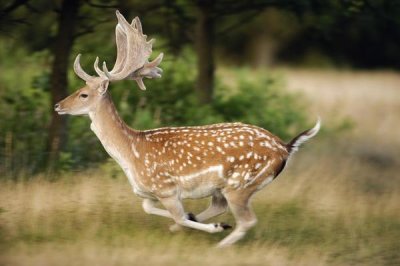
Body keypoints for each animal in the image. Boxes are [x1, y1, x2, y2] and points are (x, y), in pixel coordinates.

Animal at [54, 10, 320, 247]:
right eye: (77, 89)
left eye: (83, 94)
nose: (58, 105)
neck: (131, 152)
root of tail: (284, 147)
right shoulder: (150, 193)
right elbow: (151, 209)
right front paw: (185, 223)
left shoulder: (166, 188)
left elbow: (178, 215)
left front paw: (209, 226)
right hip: (224, 188)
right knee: (220, 206)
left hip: (241, 184)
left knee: (247, 220)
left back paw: (218, 244)